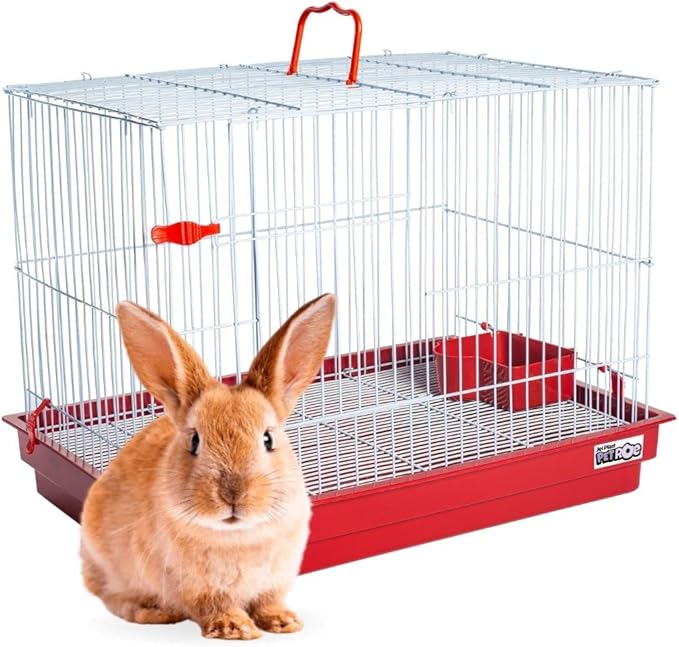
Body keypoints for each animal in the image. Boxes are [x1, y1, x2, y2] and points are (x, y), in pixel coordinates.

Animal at [80, 294, 336, 640]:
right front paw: (236, 629)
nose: (233, 494)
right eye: (194, 441)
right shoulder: (196, 588)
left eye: (268, 438)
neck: (238, 536)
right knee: (113, 598)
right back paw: (155, 613)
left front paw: (285, 623)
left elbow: (268, 602)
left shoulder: (275, 581)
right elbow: (214, 606)